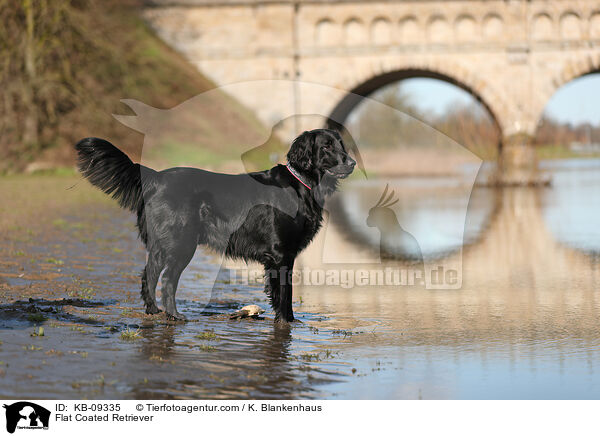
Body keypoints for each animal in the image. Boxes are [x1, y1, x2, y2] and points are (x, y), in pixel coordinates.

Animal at [75, 127, 356, 322]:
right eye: (326, 146)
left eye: (341, 144)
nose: (352, 163)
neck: (301, 185)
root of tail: (154, 177)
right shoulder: (281, 255)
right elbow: (284, 295)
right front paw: (287, 322)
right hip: (181, 243)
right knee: (164, 279)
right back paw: (172, 315)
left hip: (169, 244)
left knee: (154, 276)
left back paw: (157, 311)